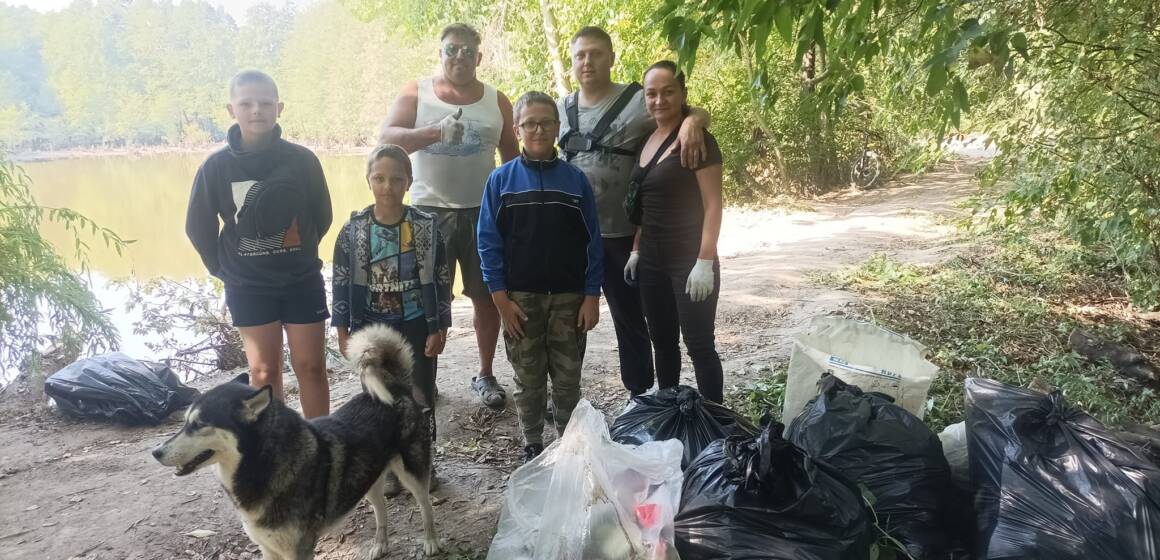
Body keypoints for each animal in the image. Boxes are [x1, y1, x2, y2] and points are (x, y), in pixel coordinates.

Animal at [153, 324, 438, 560]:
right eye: (185, 422)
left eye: (199, 424)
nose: (156, 452)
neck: (264, 463)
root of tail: (395, 388)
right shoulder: (268, 550)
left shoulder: (298, 550)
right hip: (368, 481)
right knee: (381, 510)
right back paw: (380, 545)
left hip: (412, 473)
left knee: (425, 505)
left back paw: (431, 541)